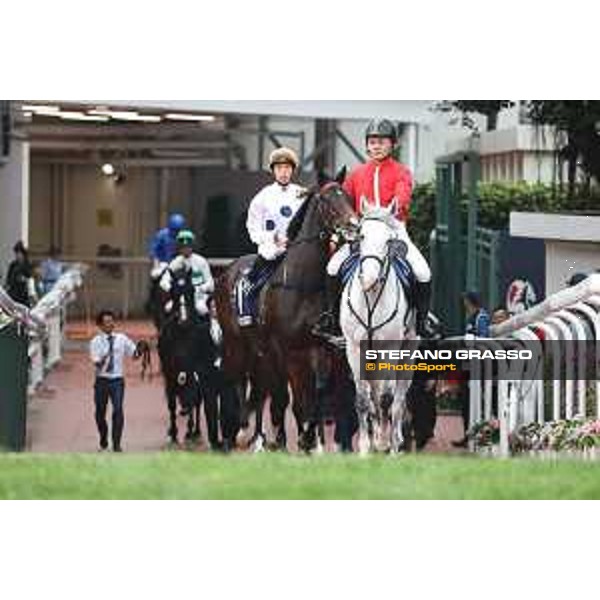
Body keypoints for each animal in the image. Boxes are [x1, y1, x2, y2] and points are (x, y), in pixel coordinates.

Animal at [214, 168, 356, 450]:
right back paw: (241, 432)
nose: (354, 226)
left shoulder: (318, 346)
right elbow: (290, 398)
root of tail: (227, 271)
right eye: (327, 201)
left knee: (260, 388)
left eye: (346, 196)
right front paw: (291, 439)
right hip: (237, 343)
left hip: (260, 351)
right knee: (237, 378)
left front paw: (313, 441)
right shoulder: (286, 350)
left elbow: (317, 392)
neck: (302, 284)